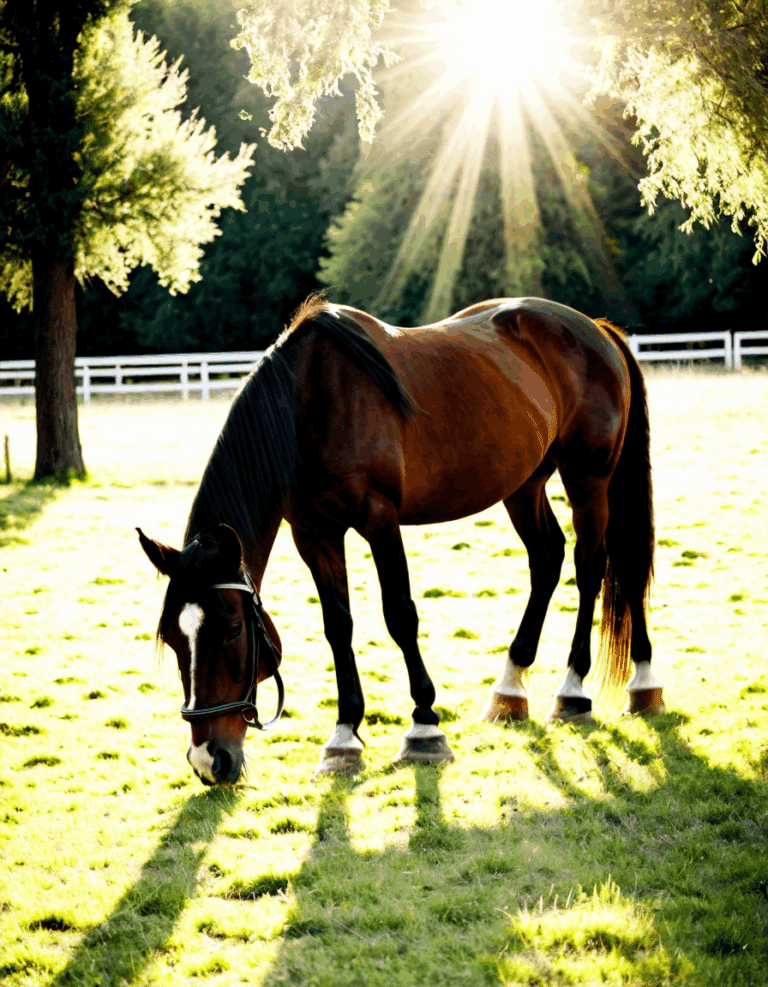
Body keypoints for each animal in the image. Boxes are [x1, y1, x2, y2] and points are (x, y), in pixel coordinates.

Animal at [138, 295, 662, 786]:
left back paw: (590, 689)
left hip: (589, 478)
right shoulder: (315, 535)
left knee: (596, 564)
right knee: (548, 559)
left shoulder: (380, 520)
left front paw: (424, 726)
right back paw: (511, 689)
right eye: (172, 638)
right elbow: (337, 626)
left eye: (232, 630)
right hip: (525, 484)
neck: (311, 401)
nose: (209, 760)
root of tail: (594, 329)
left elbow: (400, 616)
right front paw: (344, 736)